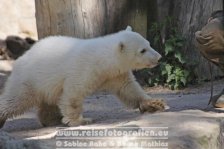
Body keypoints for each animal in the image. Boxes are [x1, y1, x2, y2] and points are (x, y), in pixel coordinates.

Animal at [0, 26, 164, 127]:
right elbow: (74, 92)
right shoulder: (85, 68)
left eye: (149, 44)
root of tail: (23, 56)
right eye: (142, 50)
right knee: (16, 99)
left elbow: (128, 88)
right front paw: (80, 120)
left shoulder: (115, 74)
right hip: (30, 79)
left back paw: (51, 119)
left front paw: (155, 104)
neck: (104, 60)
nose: (159, 58)